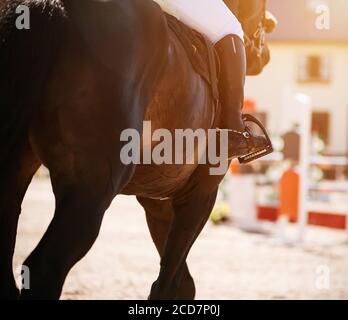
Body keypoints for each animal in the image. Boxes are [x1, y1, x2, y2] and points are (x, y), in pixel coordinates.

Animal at [0, 0, 274, 300]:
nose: (266, 49)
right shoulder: (201, 192)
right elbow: (169, 282)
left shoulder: (156, 200)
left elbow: (182, 282)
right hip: (93, 188)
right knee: (45, 267)